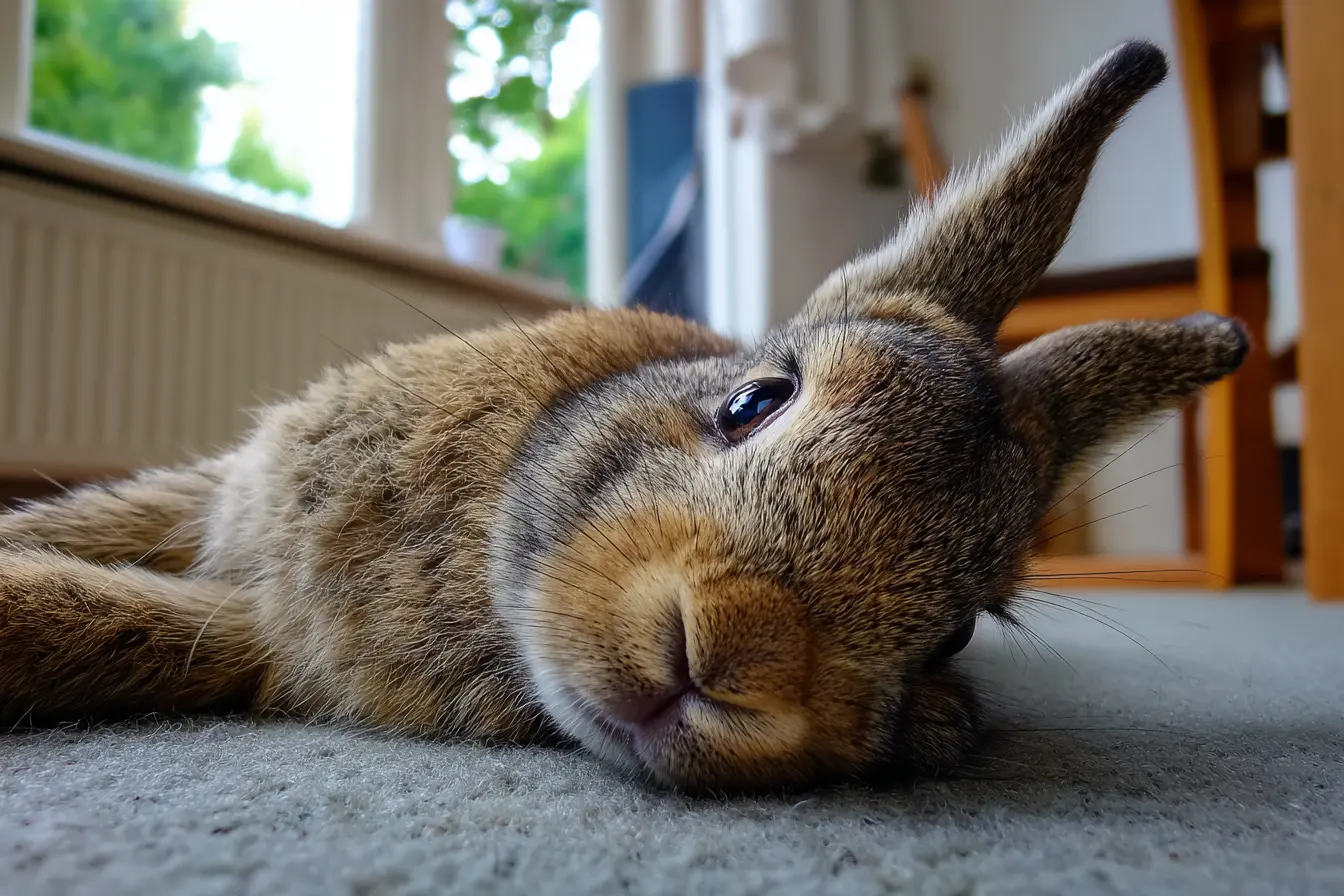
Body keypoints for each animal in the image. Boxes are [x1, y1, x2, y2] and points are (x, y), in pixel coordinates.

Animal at [0, 41, 1250, 791]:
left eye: (953, 633)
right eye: (755, 400)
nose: (727, 656)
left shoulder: (258, 629)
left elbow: (78, 615)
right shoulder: (235, 500)